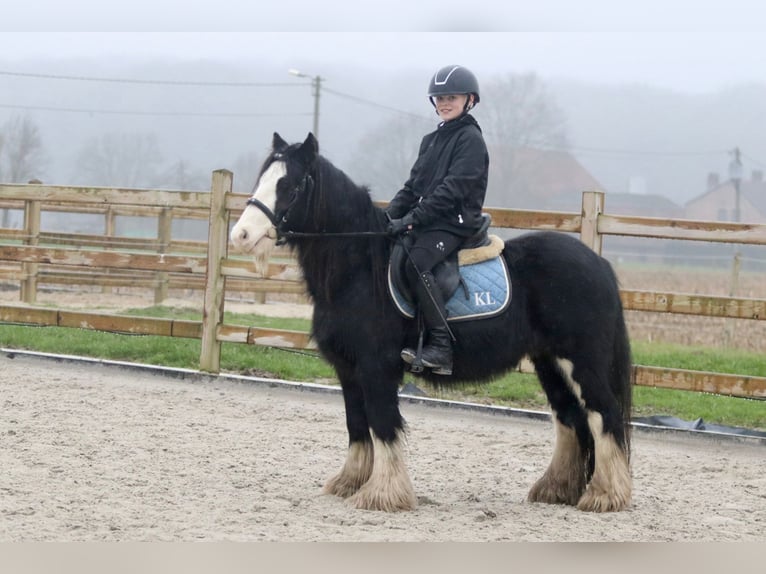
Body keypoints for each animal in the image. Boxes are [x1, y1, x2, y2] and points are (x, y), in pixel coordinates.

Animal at [230, 133, 636, 516]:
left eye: (290, 185)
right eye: (263, 178)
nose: (241, 236)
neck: (360, 269)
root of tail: (598, 264)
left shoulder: (376, 367)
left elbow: (383, 424)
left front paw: (383, 494)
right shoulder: (348, 369)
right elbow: (357, 425)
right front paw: (349, 483)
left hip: (582, 361)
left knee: (604, 415)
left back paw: (605, 496)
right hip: (549, 362)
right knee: (571, 419)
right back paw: (558, 490)